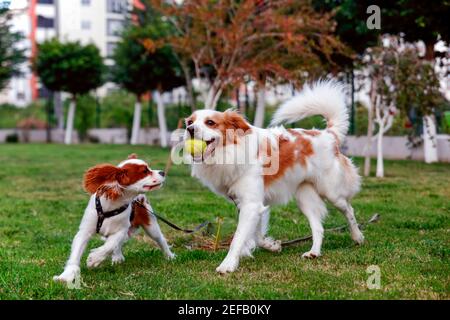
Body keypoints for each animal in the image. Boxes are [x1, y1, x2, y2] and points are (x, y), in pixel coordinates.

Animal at [55, 154, 176, 284]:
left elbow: (110, 245)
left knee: (160, 239)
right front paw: (66, 276)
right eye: (145, 171)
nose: (163, 172)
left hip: (151, 225)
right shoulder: (84, 231)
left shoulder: (122, 230)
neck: (111, 205)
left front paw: (94, 259)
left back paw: (169, 256)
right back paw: (117, 257)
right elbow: (76, 254)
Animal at [185, 80, 364, 272]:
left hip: (331, 192)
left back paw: (357, 237)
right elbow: (256, 236)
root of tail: (328, 134)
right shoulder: (247, 204)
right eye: (190, 121)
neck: (231, 149)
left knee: (349, 210)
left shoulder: (251, 205)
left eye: (210, 122)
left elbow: (238, 238)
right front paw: (271, 246)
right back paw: (314, 252)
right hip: (305, 198)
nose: (189, 129)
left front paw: (228, 264)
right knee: (318, 227)